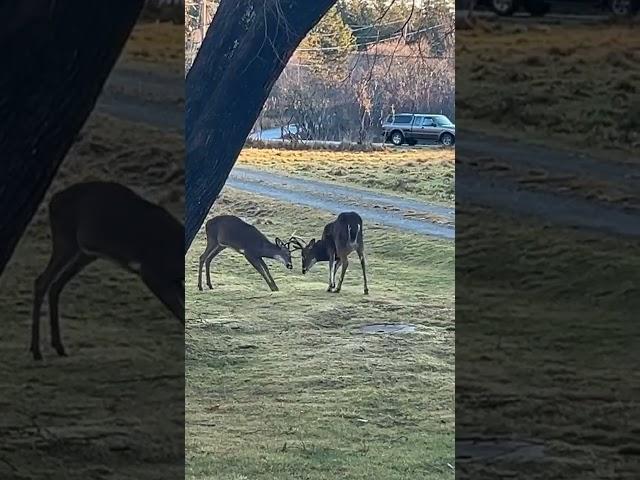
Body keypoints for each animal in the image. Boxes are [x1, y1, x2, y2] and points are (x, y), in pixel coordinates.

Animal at [31, 183, 184, 360]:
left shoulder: (173, 280)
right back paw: (37, 351)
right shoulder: (151, 273)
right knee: (42, 281)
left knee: (55, 285)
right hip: (65, 241)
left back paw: (58, 347)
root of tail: (53, 200)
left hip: (84, 252)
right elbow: (181, 313)